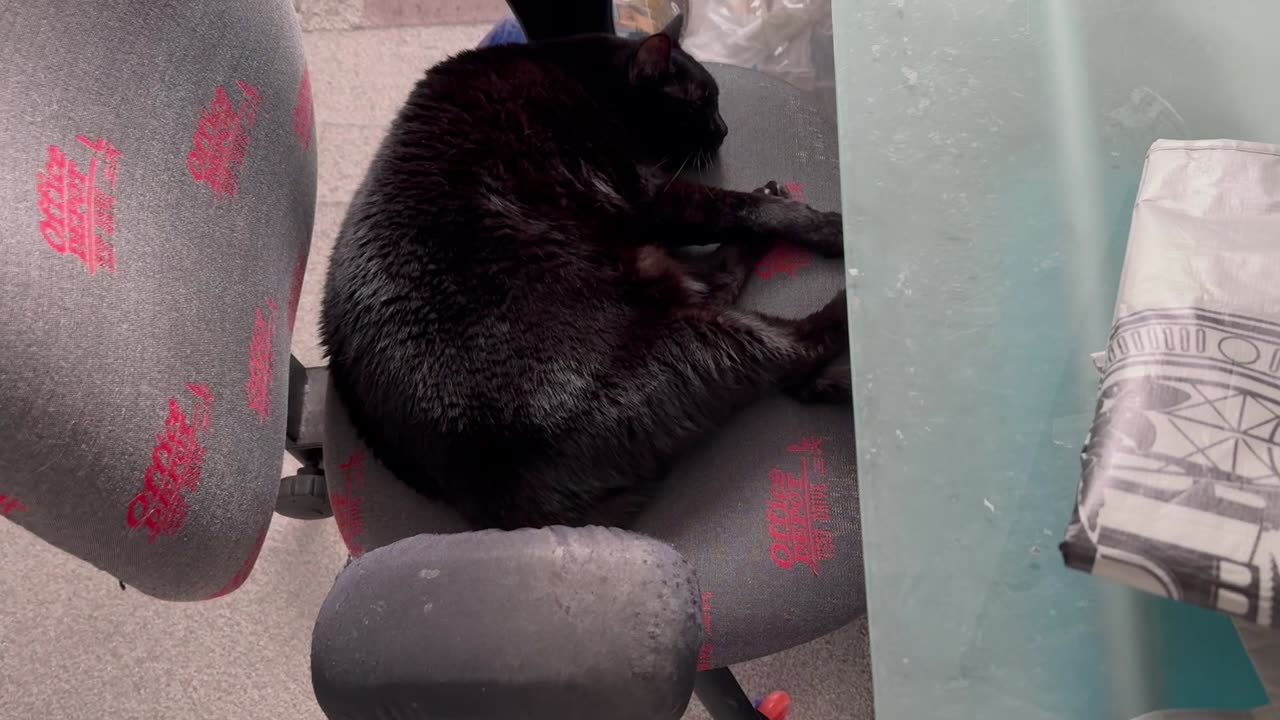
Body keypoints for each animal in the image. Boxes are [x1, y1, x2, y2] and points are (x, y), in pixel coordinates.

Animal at [322, 16, 849, 527]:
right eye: (701, 101)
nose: (722, 129)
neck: (580, 73)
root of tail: (500, 503)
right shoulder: (649, 192)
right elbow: (737, 206)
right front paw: (824, 226)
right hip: (687, 331)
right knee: (795, 344)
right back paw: (849, 308)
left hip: (653, 271)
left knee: (725, 290)